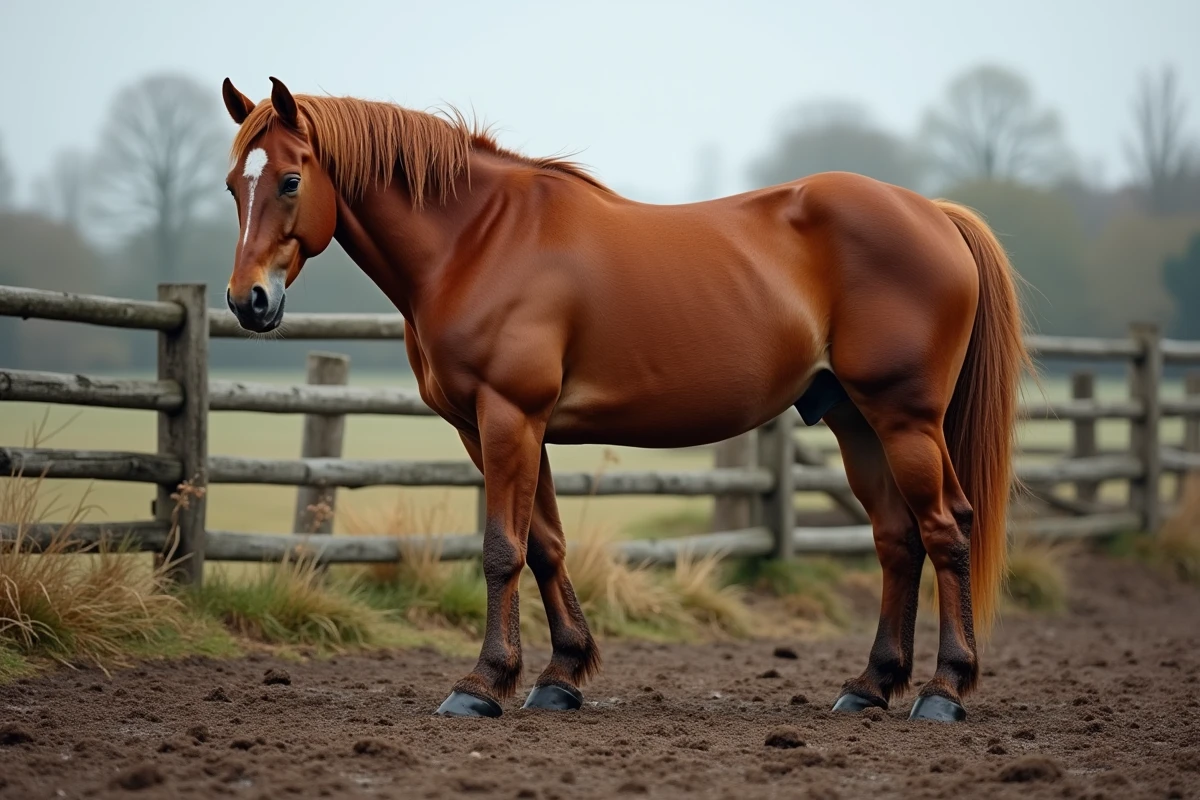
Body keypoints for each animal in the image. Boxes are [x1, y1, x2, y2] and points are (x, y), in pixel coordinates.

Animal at [219, 77, 1029, 722]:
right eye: (233, 184)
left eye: (288, 181)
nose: (247, 301)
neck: (476, 239)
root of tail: (935, 213)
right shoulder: (500, 428)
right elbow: (544, 545)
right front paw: (560, 675)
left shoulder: (508, 416)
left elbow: (502, 549)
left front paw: (482, 683)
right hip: (854, 420)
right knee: (897, 538)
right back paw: (869, 685)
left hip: (905, 419)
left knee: (945, 530)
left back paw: (944, 692)